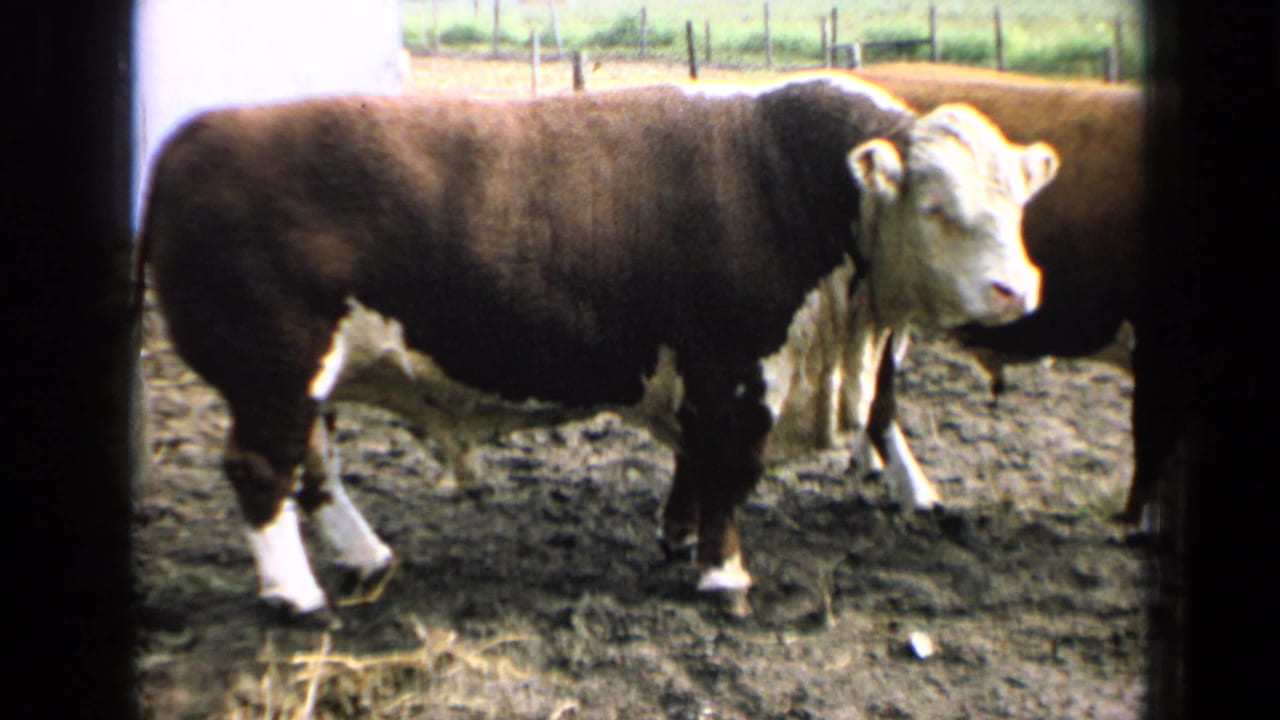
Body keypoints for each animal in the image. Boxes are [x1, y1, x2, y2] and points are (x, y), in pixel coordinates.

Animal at [137, 72, 1059, 621]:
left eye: (1018, 204)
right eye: (937, 207)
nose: (1018, 290)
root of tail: (196, 134)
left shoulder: (699, 375)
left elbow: (693, 466)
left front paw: (679, 536)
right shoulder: (737, 368)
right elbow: (729, 475)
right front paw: (723, 574)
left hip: (305, 378)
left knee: (314, 466)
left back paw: (367, 558)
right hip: (274, 369)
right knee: (262, 470)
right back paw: (295, 593)